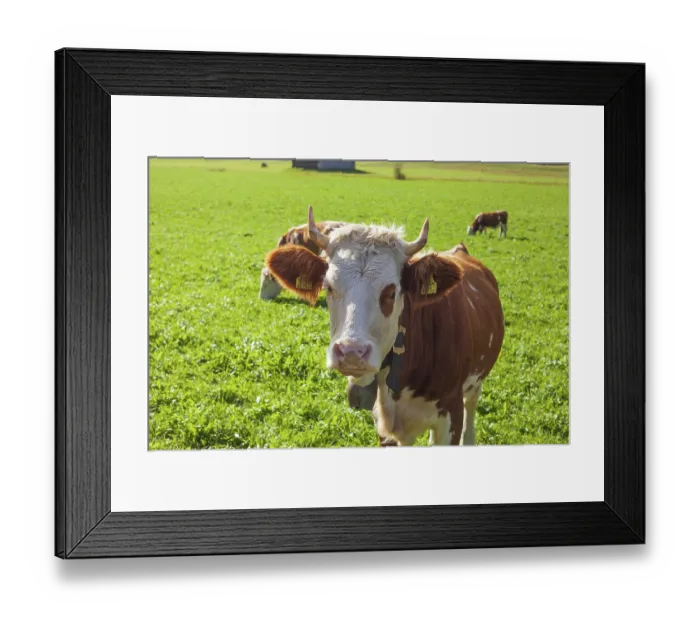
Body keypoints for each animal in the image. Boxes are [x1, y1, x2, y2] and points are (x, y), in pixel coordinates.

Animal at [265, 206, 505, 447]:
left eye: (391, 292)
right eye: (329, 287)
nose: (352, 353)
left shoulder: (451, 414)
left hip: (475, 384)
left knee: (471, 406)